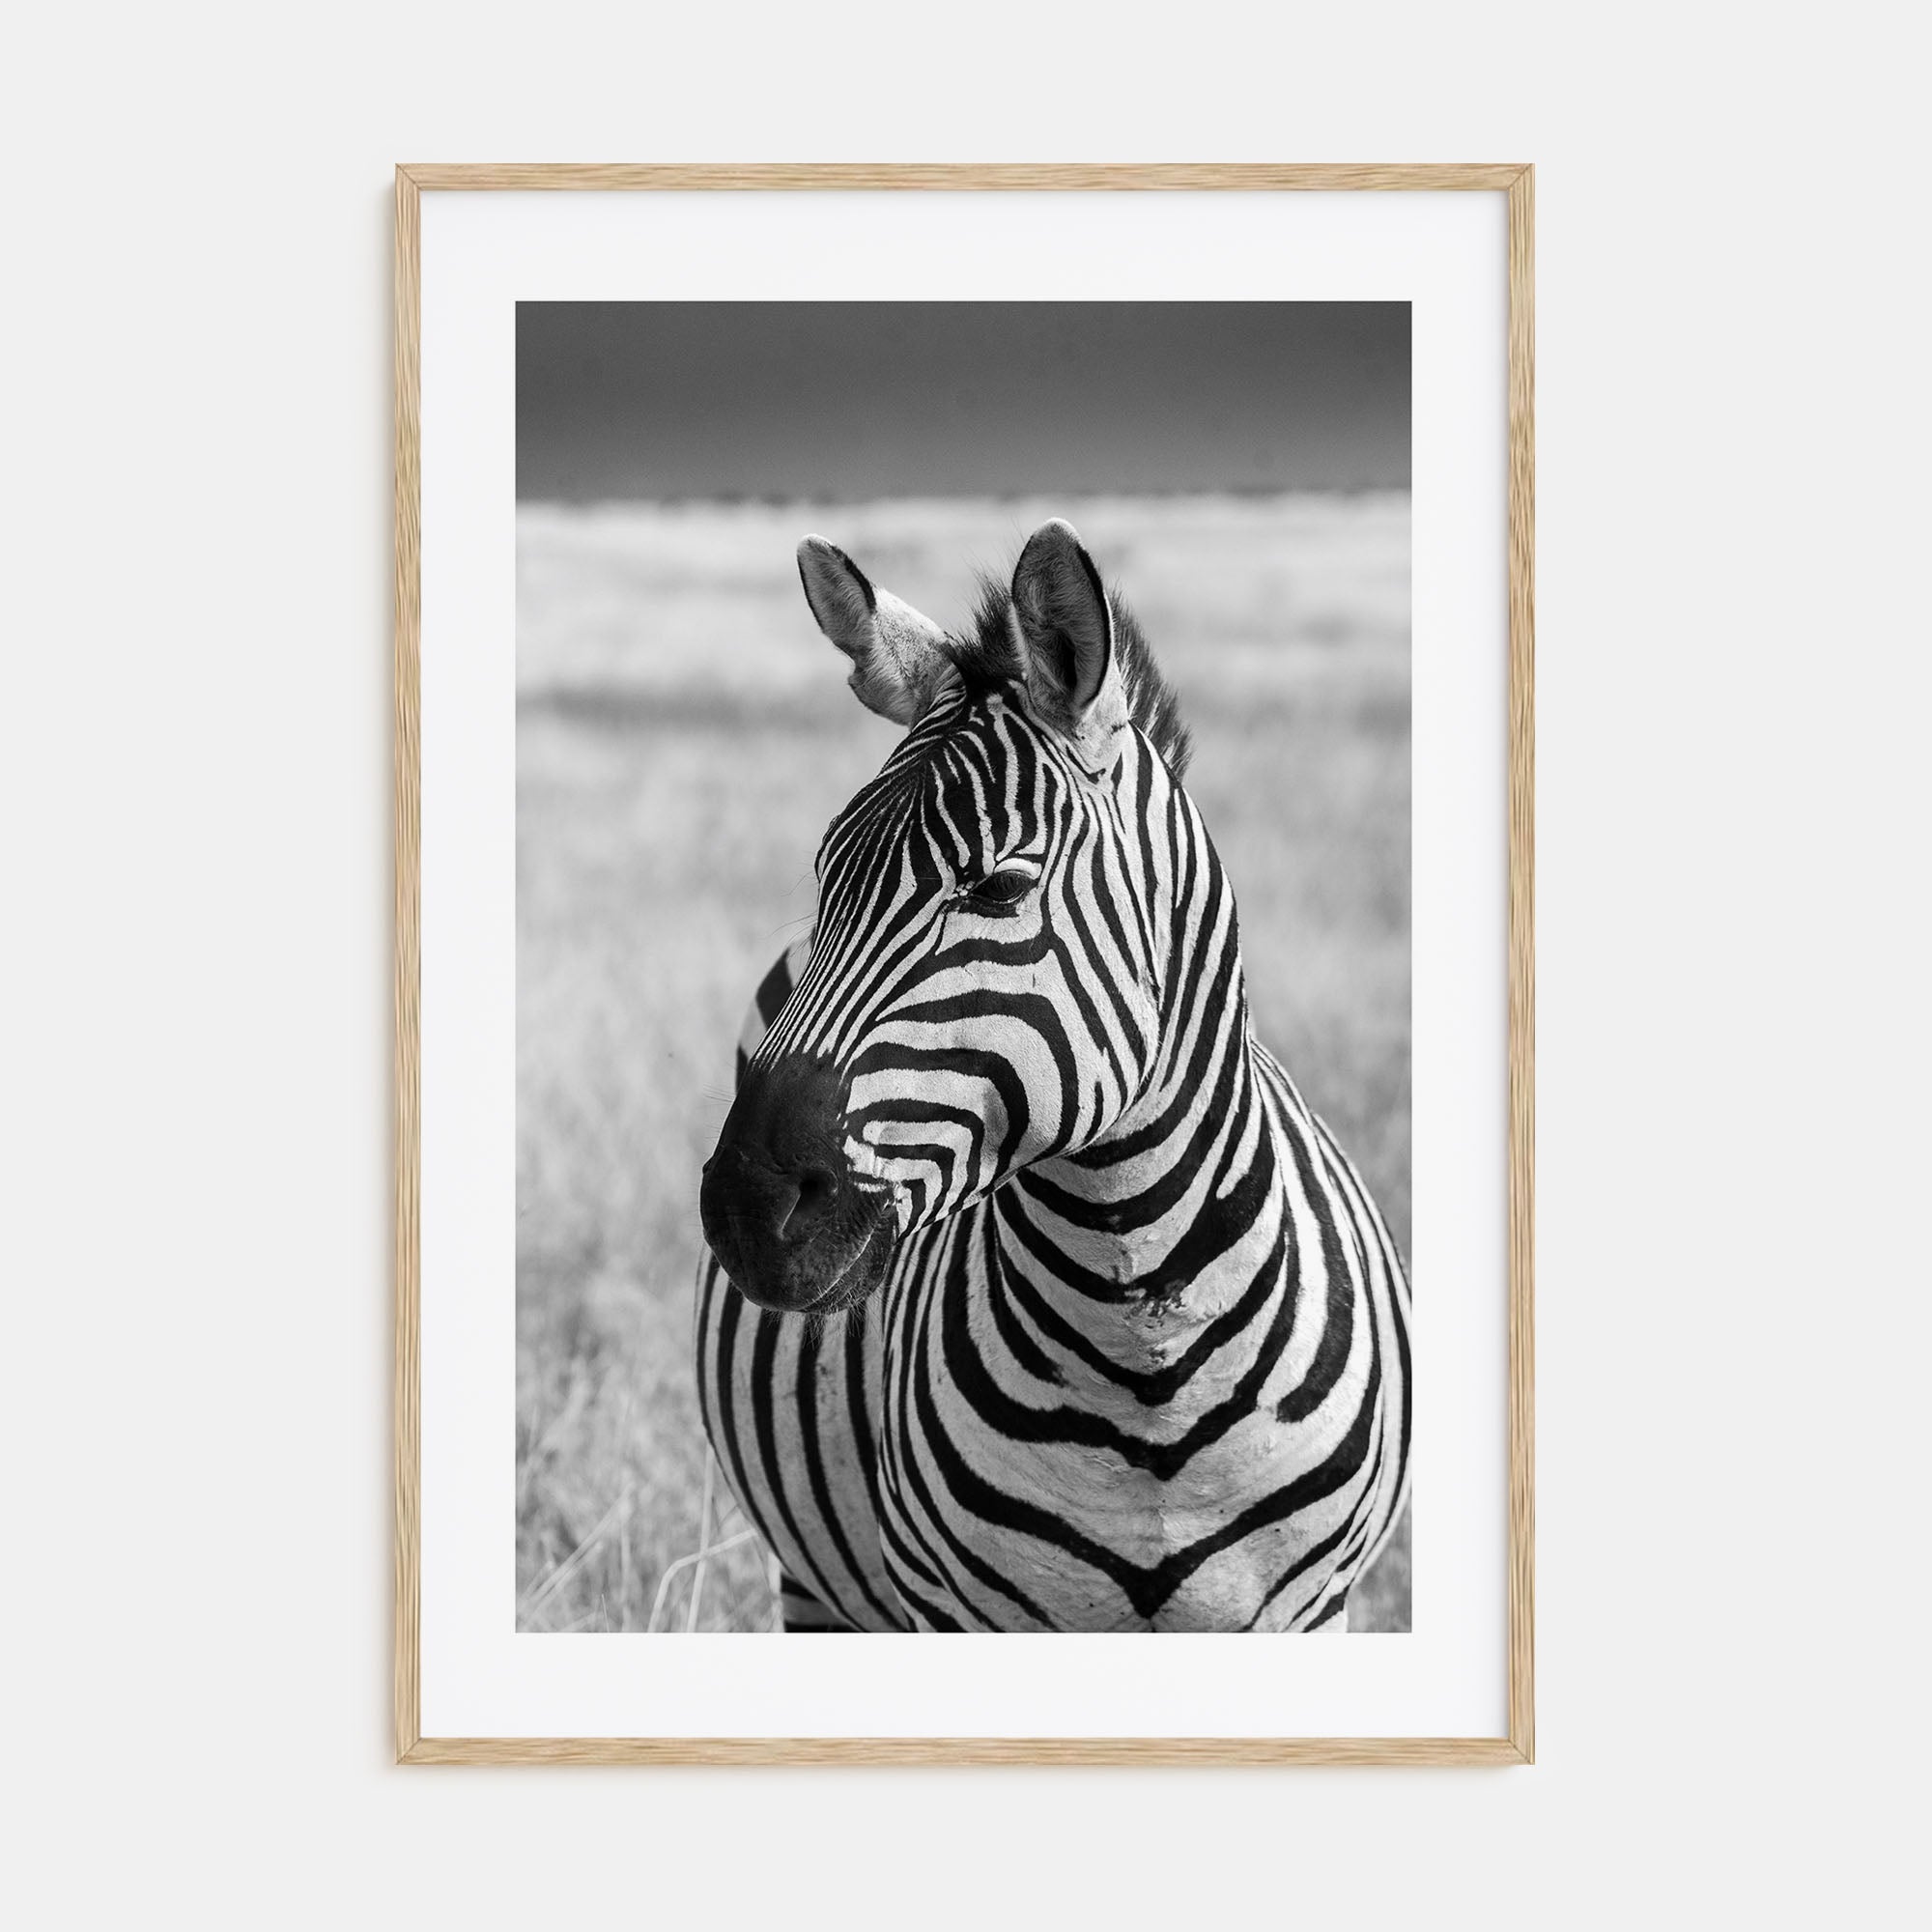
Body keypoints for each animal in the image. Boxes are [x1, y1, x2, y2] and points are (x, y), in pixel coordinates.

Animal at [693, 519, 1410, 1632]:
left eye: (996, 886)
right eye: (825, 877)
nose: (745, 1205)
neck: (1145, 1354)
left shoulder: (1312, 1607)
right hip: (815, 1582)